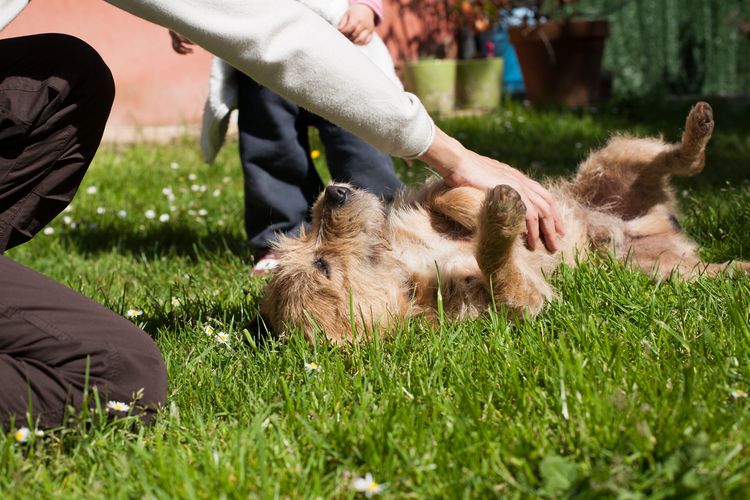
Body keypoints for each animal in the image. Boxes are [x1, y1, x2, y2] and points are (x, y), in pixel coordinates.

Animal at [260, 101, 750, 344]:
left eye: (306, 234)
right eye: (322, 265)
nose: (332, 192)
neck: (407, 265)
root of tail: (662, 226)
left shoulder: (430, 197)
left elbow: (452, 195)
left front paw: (487, 207)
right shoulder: (527, 302)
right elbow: (498, 267)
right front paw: (500, 223)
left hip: (615, 159)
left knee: (676, 159)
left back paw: (698, 127)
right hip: (668, 273)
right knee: (713, 266)